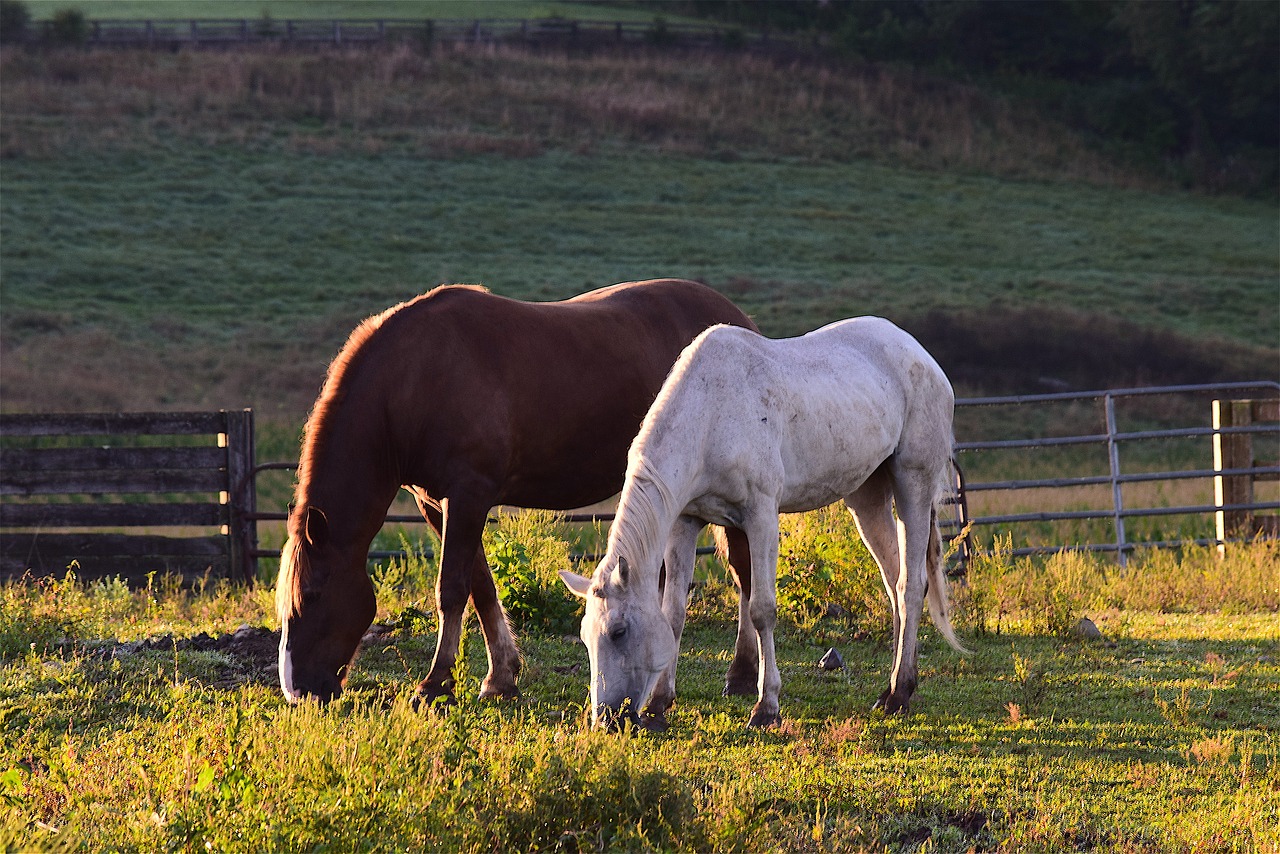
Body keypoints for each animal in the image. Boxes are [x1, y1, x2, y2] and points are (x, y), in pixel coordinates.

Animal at [277, 277, 757, 706]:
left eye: (312, 594)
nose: (299, 691)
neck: (415, 379)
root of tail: (739, 323)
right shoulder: (437, 502)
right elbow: (480, 585)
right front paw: (501, 677)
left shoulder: (469, 495)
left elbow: (451, 589)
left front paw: (435, 685)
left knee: (744, 573)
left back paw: (743, 676)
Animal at [555, 317, 962, 732]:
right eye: (585, 638)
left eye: (618, 632)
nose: (606, 721)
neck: (710, 417)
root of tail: (921, 355)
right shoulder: (685, 522)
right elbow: (674, 612)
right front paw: (658, 704)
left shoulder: (761, 515)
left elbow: (762, 609)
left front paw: (766, 707)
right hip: (867, 498)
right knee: (894, 581)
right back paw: (894, 685)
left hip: (913, 482)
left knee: (911, 585)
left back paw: (900, 693)